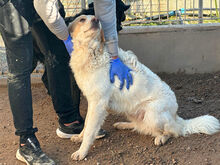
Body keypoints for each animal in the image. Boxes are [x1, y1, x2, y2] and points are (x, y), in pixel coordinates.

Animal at [68, 15, 219, 160]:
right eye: (82, 19)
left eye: (95, 19)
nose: (96, 20)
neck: (92, 52)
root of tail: (176, 118)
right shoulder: (92, 102)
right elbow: (86, 124)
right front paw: (79, 138)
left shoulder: (98, 104)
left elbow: (89, 130)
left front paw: (81, 152)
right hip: (130, 110)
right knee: (140, 126)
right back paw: (123, 124)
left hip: (151, 114)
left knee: (172, 131)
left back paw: (161, 138)